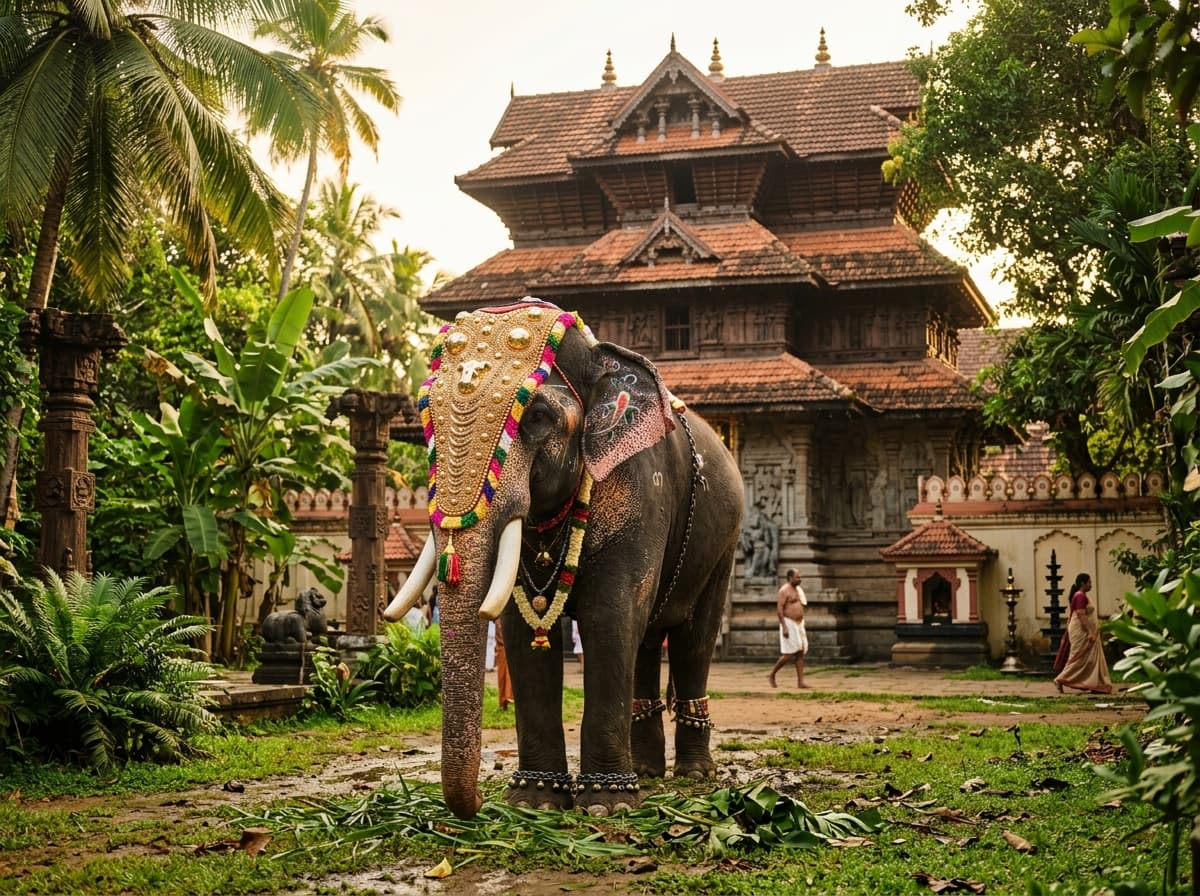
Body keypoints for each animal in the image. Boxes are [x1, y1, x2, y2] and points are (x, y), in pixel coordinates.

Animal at [384, 299, 743, 820]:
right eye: (424, 412)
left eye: (535, 416)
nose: (477, 802)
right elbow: (522, 628)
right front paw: (534, 801)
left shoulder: (639, 487)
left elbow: (608, 617)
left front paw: (606, 806)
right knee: (646, 641)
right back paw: (648, 772)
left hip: (723, 544)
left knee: (693, 639)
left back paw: (693, 776)